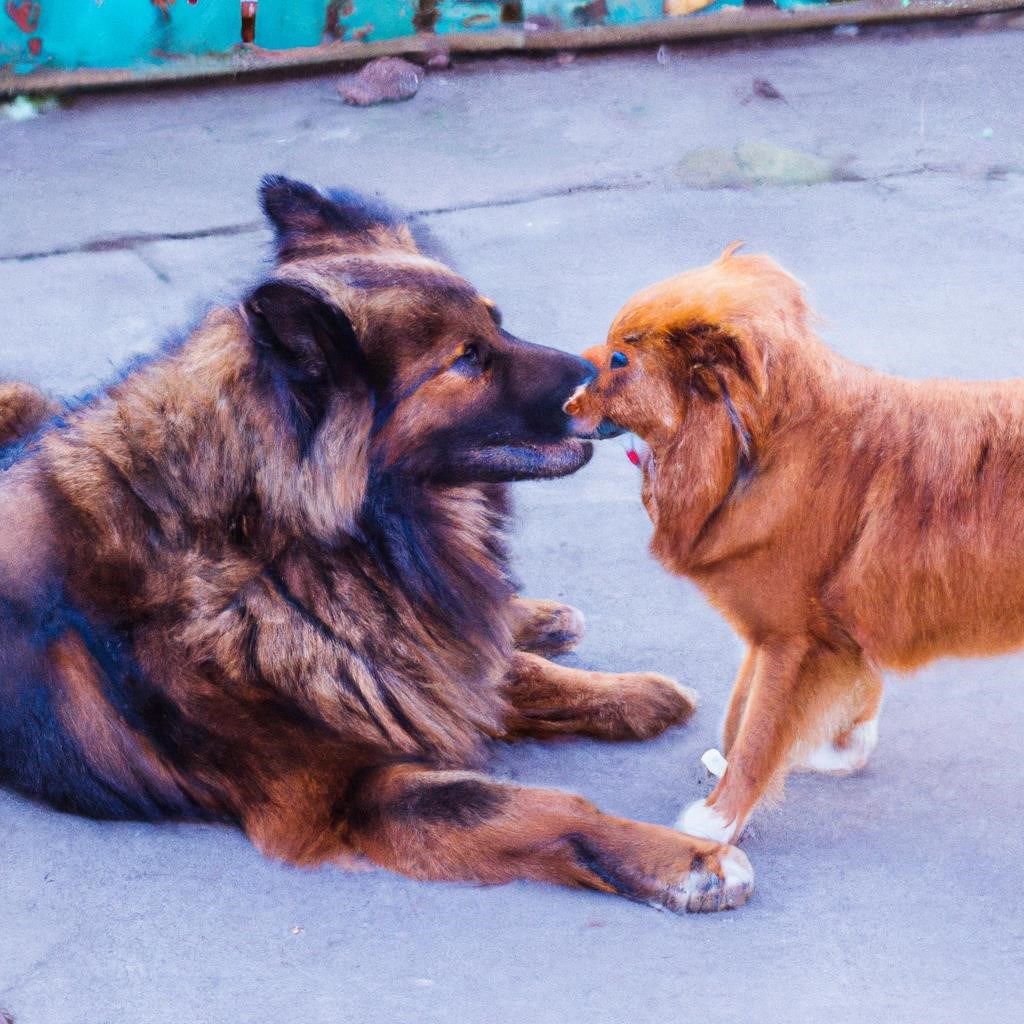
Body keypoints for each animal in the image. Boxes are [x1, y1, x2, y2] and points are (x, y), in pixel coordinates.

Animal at [0, 178, 753, 913]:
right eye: (467, 359)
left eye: (498, 323)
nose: (614, 380)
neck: (278, 544)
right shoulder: (354, 790)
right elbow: (543, 805)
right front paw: (685, 859)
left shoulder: (409, 650)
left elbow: (504, 672)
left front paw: (629, 692)